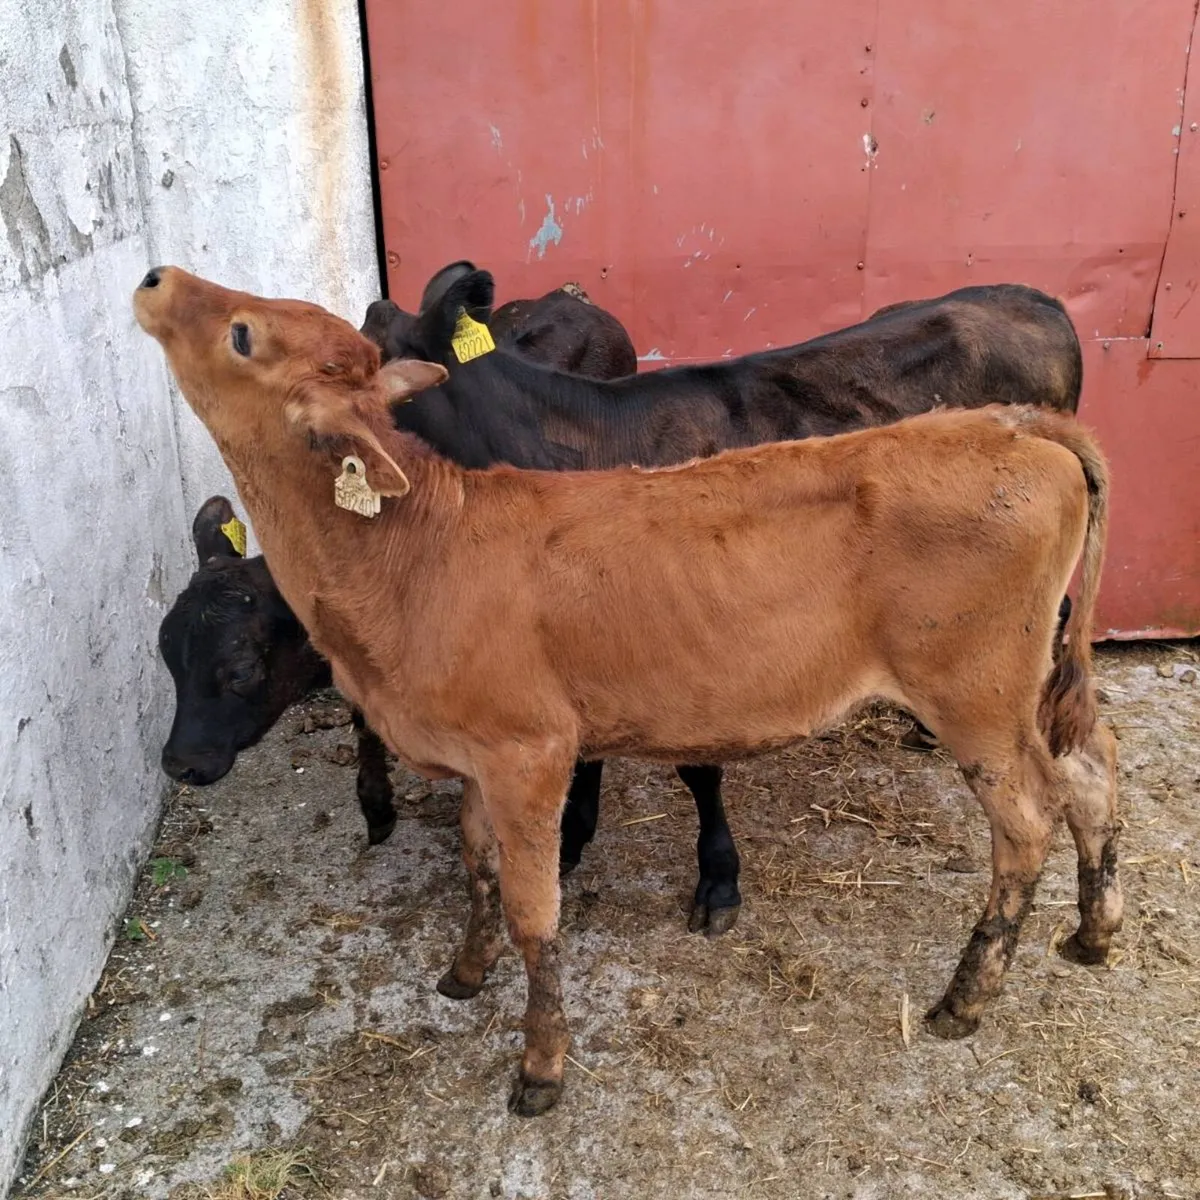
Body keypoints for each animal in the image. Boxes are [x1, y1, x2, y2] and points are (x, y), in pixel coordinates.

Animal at [134, 266, 1122, 1120]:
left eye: (243, 331)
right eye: (167, 654)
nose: (156, 277)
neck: (418, 548)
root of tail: (1013, 425)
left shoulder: (529, 752)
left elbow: (537, 912)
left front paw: (541, 1065)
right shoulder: (480, 756)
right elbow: (477, 866)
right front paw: (465, 972)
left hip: (976, 692)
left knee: (1027, 820)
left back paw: (965, 999)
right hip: (1024, 686)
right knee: (1091, 768)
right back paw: (1093, 930)